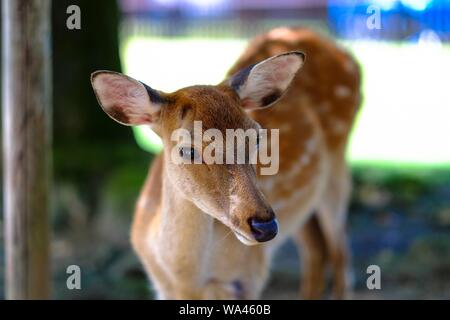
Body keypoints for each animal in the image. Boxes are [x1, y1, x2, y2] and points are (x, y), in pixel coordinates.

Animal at [89, 27, 360, 300]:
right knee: (316, 249)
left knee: (341, 253)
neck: (185, 280)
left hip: (338, 166)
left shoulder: (249, 276)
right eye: (187, 150)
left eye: (257, 136)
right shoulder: (161, 286)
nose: (265, 226)